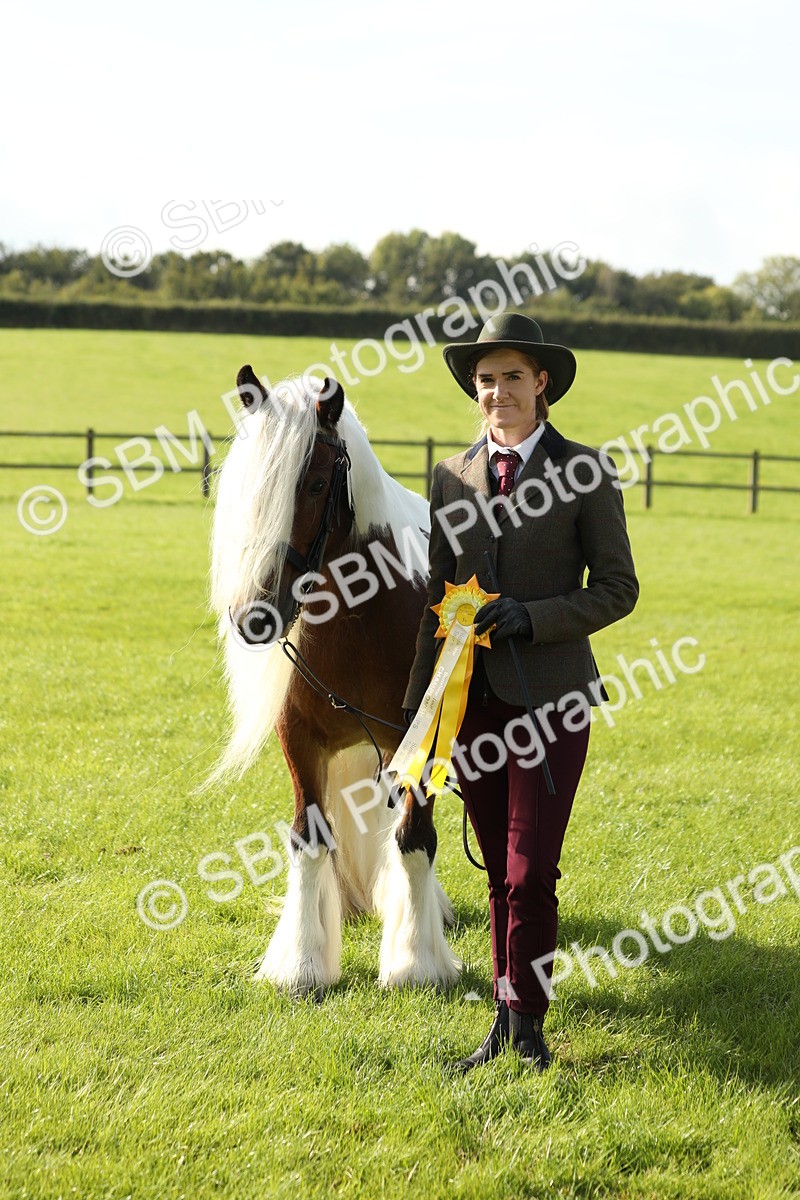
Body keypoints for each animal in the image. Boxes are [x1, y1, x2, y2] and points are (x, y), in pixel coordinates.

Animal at [209, 365, 460, 998]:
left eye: (318, 483)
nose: (252, 614)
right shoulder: (300, 738)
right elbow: (309, 839)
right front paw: (301, 964)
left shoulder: (417, 740)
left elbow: (414, 837)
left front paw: (416, 963)